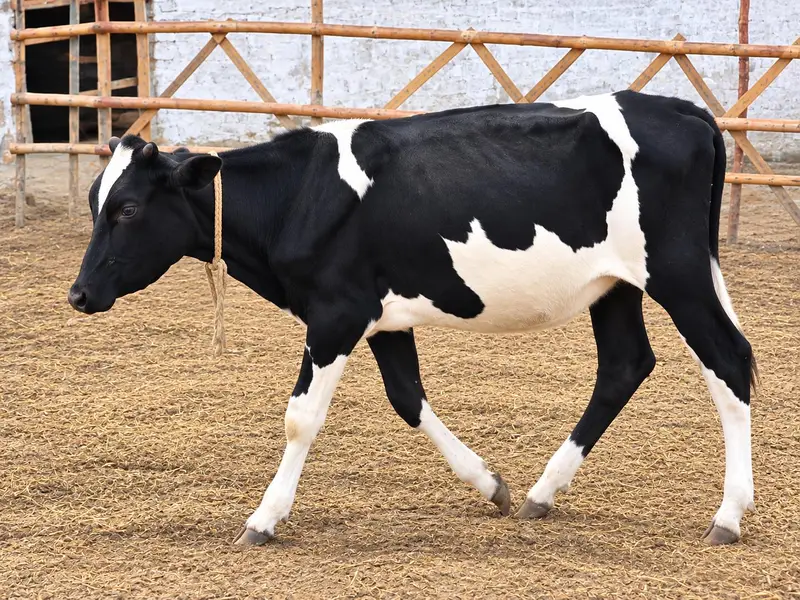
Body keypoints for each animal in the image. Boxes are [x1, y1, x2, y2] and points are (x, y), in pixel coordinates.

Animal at [67, 90, 757, 547]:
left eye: (127, 209)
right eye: (97, 200)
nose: (78, 294)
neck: (299, 196)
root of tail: (682, 109)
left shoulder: (336, 313)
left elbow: (300, 418)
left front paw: (263, 520)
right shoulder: (383, 316)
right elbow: (407, 397)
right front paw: (490, 484)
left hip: (679, 274)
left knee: (728, 360)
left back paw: (727, 516)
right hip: (614, 286)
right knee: (623, 365)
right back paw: (541, 493)